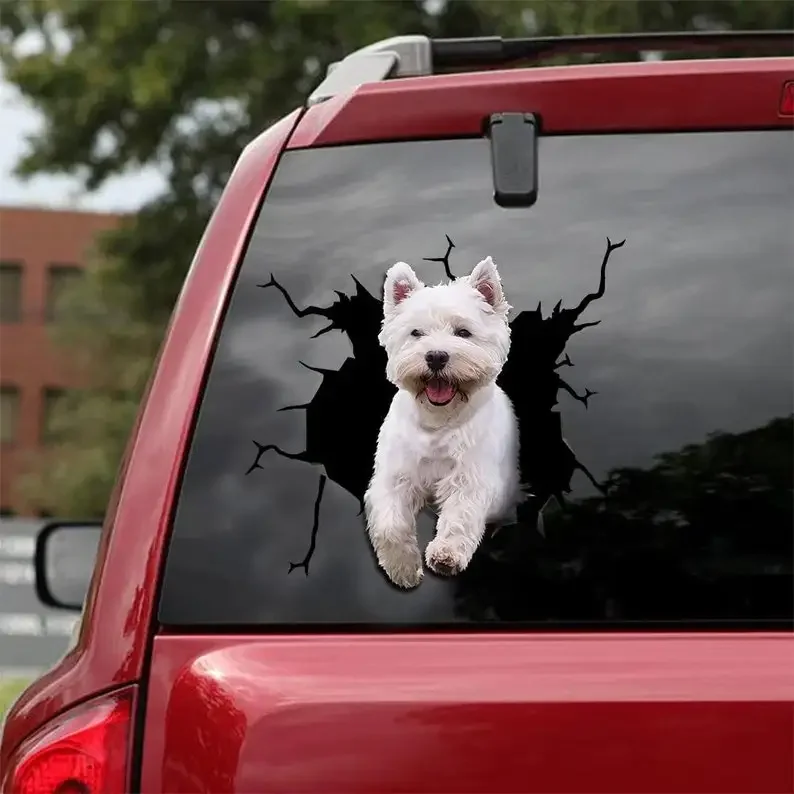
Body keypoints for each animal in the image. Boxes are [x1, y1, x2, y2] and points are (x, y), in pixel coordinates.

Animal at [364, 255, 520, 588]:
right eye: (416, 333)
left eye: (463, 333)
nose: (436, 356)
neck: (438, 422)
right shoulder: (394, 477)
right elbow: (390, 523)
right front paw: (403, 567)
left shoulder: (472, 478)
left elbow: (461, 515)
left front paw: (445, 556)